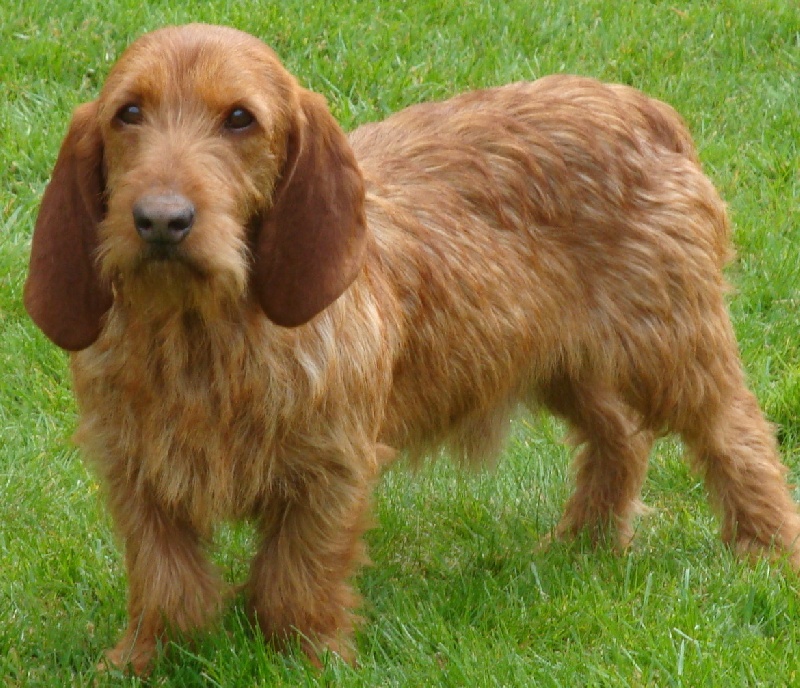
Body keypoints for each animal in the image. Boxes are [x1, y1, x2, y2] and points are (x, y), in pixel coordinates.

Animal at [25, 22, 800, 676]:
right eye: (129, 113)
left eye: (240, 118)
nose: (161, 219)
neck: (201, 336)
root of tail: (643, 108)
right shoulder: (136, 468)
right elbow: (168, 582)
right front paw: (141, 661)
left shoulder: (331, 470)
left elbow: (295, 580)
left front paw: (309, 663)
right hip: (554, 358)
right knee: (621, 438)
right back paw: (584, 542)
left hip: (667, 347)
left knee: (736, 433)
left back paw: (767, 550)